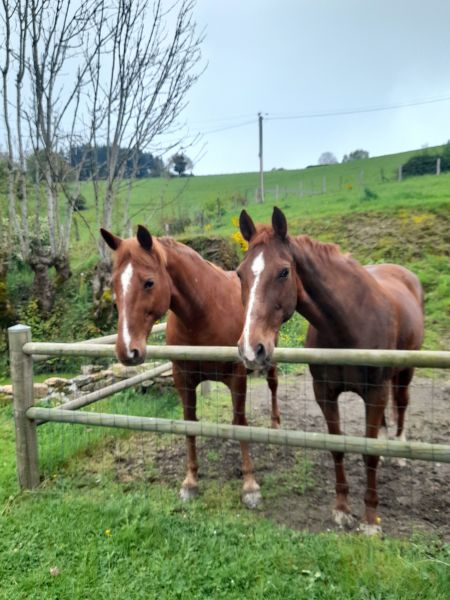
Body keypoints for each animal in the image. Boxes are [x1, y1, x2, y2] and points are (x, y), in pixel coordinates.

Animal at [100, 227, 280, 508]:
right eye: (114, 284)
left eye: (149, 282)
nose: (127, 350)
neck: (204, 311)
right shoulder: (183, 378)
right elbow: (190, 424)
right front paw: (191, 481)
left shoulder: (238, 376)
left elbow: (241, 423)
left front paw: (250, 486)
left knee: (272, 385)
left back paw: (274, 425)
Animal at [237, 207, 424, 536]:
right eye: (239, 273)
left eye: (284, 272)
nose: (251, 349)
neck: (348, 325)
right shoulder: (324, 393)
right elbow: (337, 447)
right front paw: (341, 509)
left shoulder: (375, 392)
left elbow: (369, 453)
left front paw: (370, 520)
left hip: (405, 372)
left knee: (401, 403)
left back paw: (399, 448)